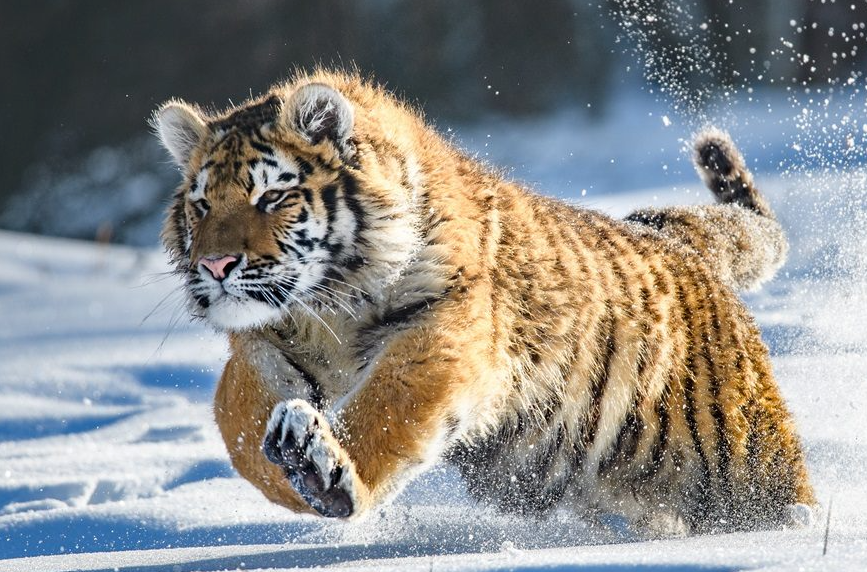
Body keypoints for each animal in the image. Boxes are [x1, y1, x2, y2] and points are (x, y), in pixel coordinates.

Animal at [154, 68, 812, 536]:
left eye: (272, 197)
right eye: (202, 205)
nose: (214, 266)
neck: (329, 307)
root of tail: (676, 239)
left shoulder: (443, 331)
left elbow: (387, 409)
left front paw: (327, 473)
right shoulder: (265, 343)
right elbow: (238, 421)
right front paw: (288, 466)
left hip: (746, 461)